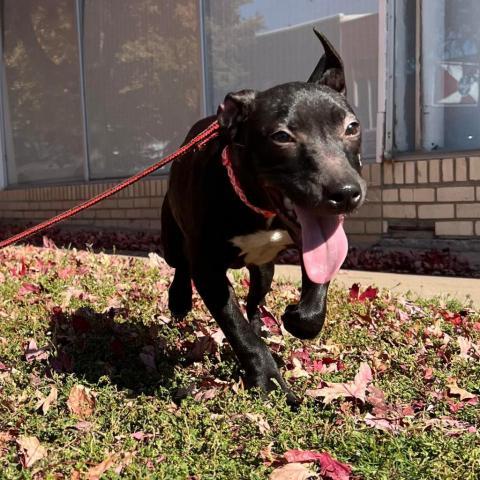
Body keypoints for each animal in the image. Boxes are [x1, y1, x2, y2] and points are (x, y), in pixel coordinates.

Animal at [162, 30, 368, 404]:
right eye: (281, 136)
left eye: (352, 127)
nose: (346, 193)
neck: (259, 209)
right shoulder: (208, 270)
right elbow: (237, 329)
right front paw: (269, 380)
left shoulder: (317, 243)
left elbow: (316, 284)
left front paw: (297, 317)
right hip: (172, 236)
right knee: (180, 264)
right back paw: (180, 299)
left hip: (264, 270)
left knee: (255, 299)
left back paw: (261, 321)